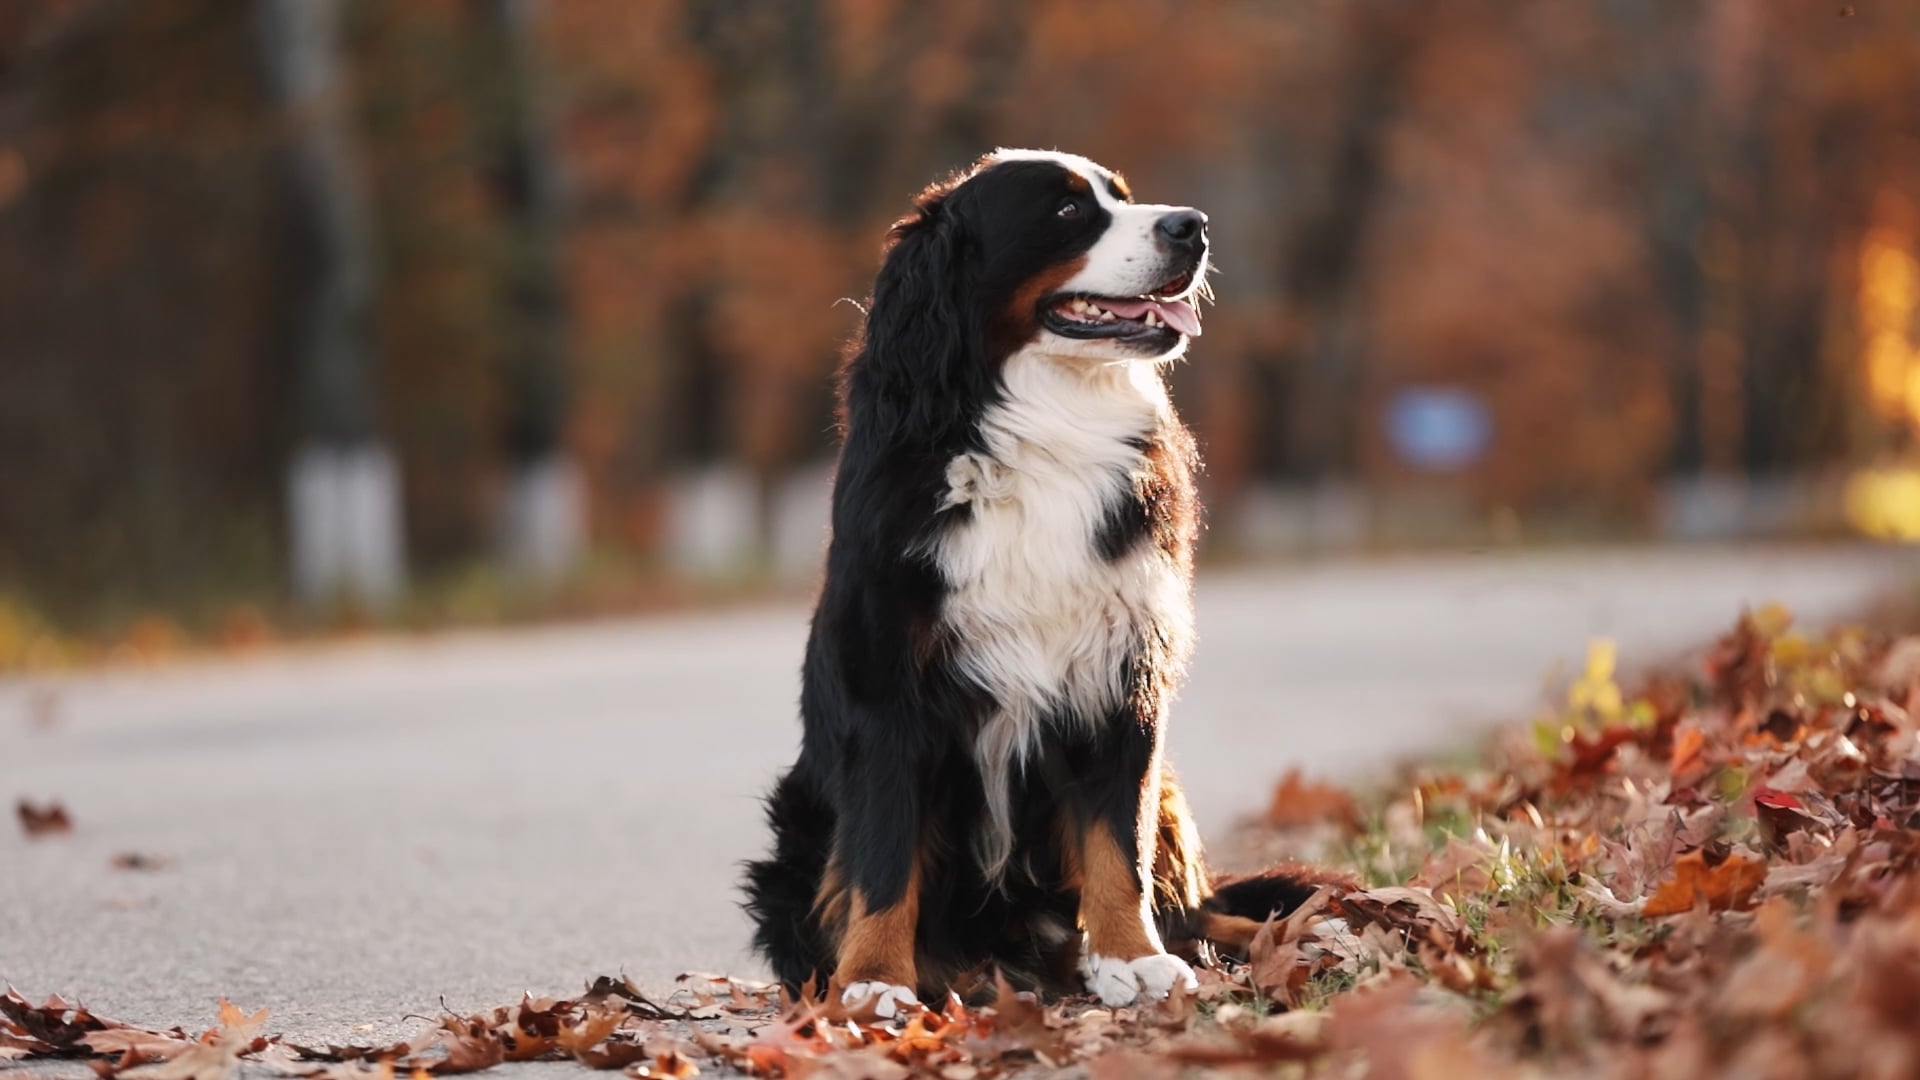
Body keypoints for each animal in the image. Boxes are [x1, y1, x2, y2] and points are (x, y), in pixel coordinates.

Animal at [737, 147, 1320, 1014]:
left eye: (1121, 195)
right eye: (1067, 212)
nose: (1192, 225)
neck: (1043, 431)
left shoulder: (1120, 675)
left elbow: (1117, 843)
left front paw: (1131, 956)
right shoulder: (890, 693)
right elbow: (883, 855)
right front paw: (875, 978)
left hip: (1170, 796)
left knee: (1200, 911)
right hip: (797, 822)